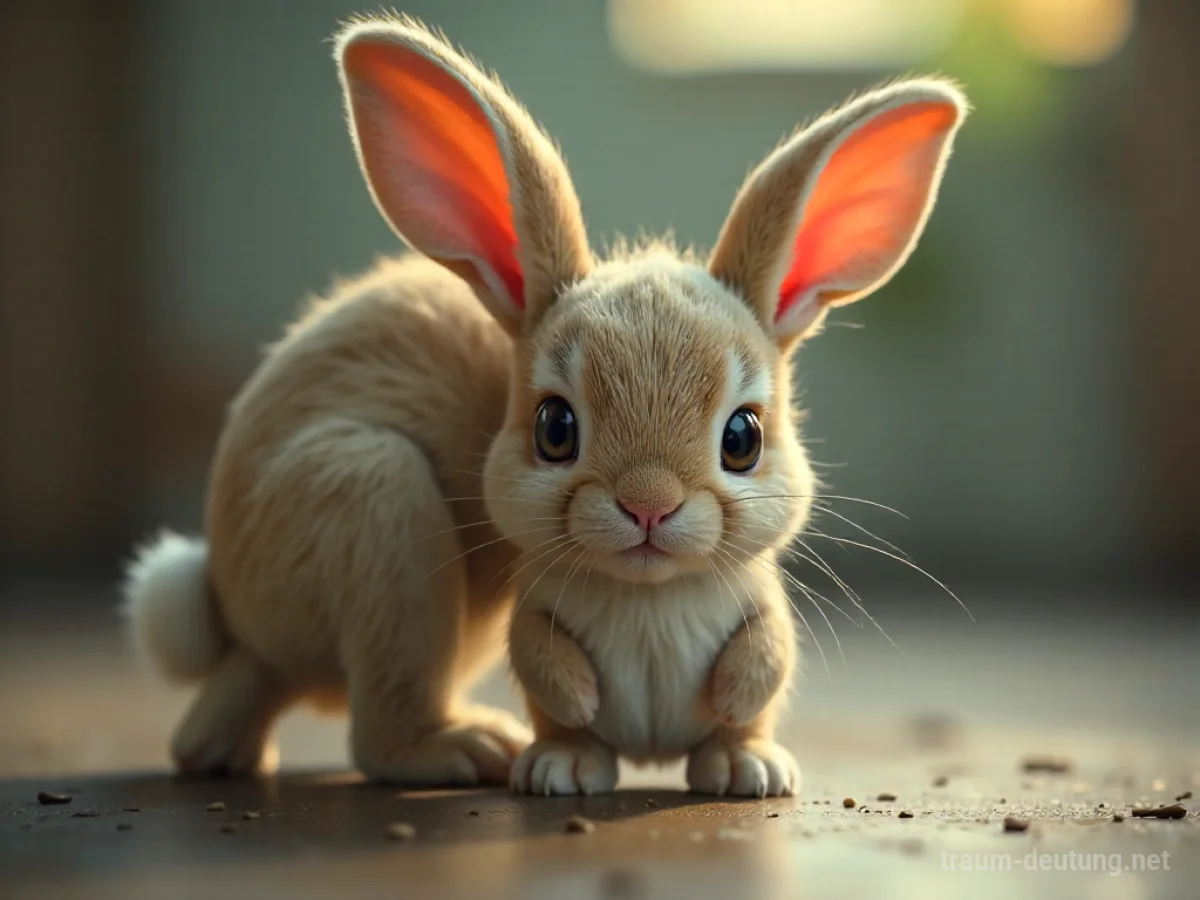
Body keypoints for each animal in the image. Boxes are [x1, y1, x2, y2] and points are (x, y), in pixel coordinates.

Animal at [120, 13, 967, 791]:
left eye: (742, 438)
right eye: (555, 429)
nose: (649, 506)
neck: (647, 593)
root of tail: (233, 611)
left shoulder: (763, 610)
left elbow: (766, 657)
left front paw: (744, 759)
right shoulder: (531, 610)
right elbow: (540, 658)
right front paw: (573, 730)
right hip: (375, 503)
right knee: (377, 731)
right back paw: (489, 753)